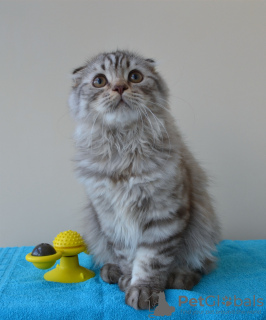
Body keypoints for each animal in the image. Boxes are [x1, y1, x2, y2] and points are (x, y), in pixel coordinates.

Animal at [68, 50, 220, 310]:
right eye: (99, 81)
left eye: (135, 76)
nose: (120, 87)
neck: (123, 148)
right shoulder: (112, 218)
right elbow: (128, 257)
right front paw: (128, 279)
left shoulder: (164, 214)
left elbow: (150, 261)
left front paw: (144, 290)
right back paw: (112, 271)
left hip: (203, 230)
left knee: (201, 265)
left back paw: (178, 277)